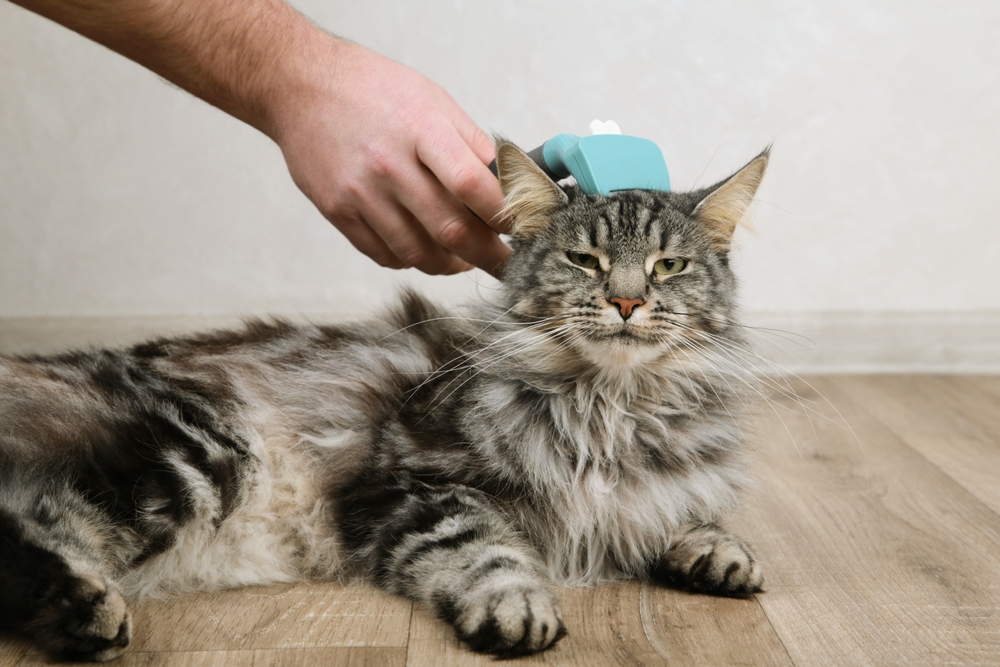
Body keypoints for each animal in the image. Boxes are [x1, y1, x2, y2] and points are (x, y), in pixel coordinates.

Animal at [0, 141, 768, 664]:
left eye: (670, 266)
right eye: (585, 259)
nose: (628, 301)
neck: (611, 410)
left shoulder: (653, 490)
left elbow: (689, 516)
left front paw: (715, 550)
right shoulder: (410, 482)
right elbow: (486, 548)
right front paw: (518, 605)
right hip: (190, 454)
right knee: (30, 521)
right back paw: (88, 612)